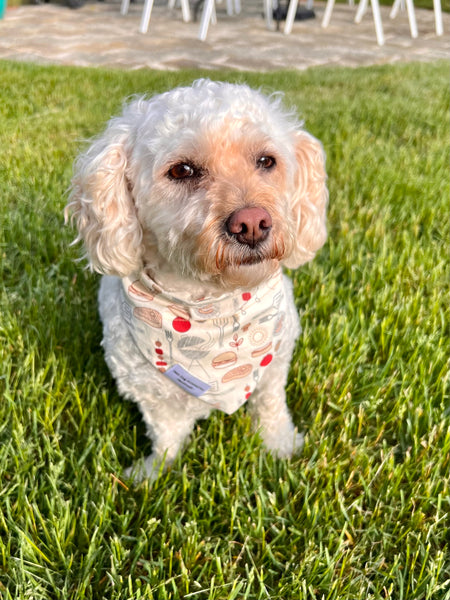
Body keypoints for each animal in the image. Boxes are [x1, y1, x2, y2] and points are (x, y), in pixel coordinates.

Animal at [66, 78, 326, 482]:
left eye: (266, 161)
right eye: (182, 170)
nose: (252, 223)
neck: (212, 308)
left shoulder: (275, 363)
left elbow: (270, 407)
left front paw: (280, 446)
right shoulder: (150, 392)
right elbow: (167, 434)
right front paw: (155, 472)